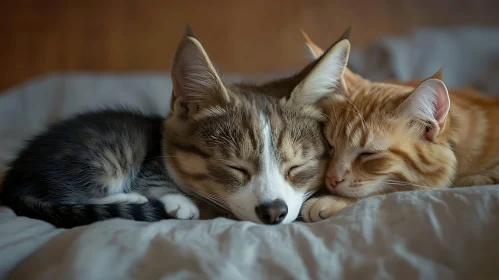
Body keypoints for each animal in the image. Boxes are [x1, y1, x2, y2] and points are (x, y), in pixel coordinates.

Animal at [0, 26, 340, 228]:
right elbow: (155, 177)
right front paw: (178, 200)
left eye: (297, 167)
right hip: (105, 153)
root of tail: (14, 179)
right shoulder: (150, 157)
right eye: (235, 168)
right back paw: (132, 199)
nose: (273, 211)